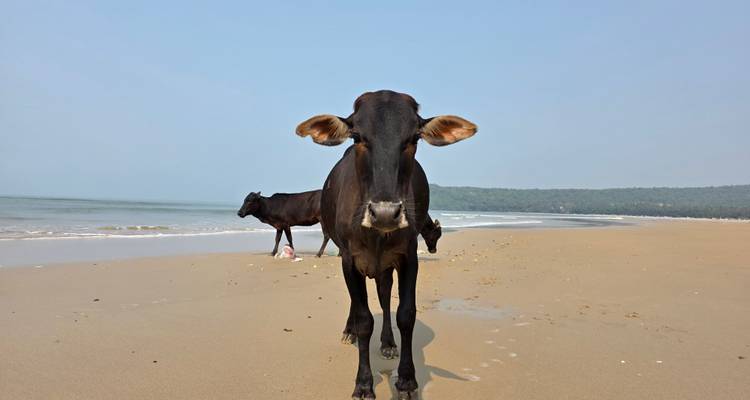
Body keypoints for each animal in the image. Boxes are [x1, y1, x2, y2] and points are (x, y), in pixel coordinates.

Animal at [296, 90, 476, 399]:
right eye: (357, 136)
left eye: (413, 138)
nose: (384, 213)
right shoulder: (349, 259)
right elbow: (364, 318)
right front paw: (363, 383)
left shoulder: (407, 258)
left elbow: (405, 314)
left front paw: (406, 380)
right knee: (358, 306)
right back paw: (349, 331)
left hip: (385, 268)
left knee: (383, 296)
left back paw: (388, 342)